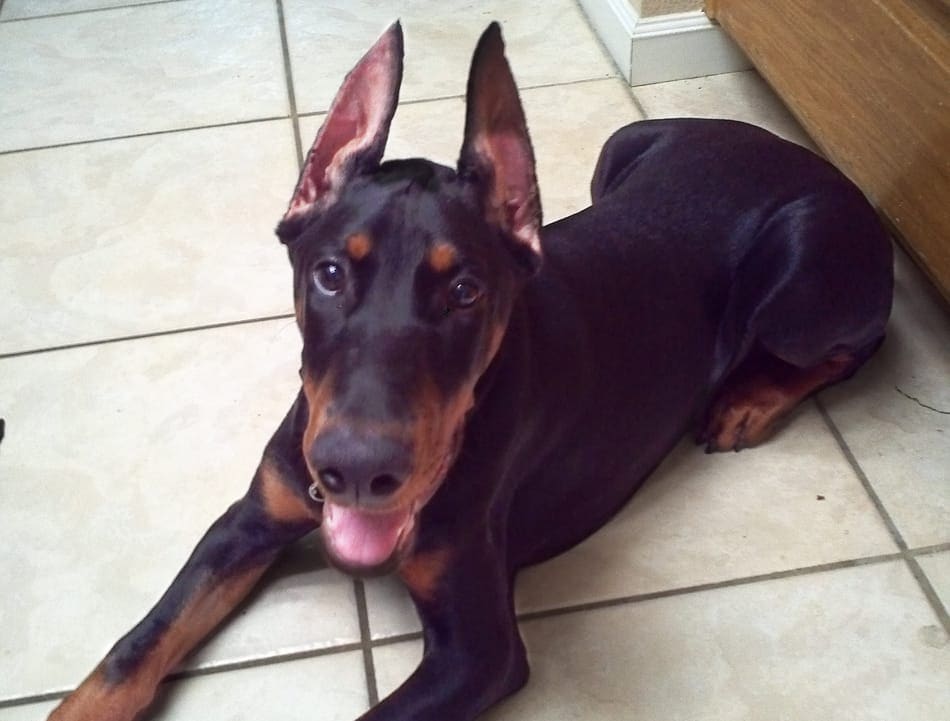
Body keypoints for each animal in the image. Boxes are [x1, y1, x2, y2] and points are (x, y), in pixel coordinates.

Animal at [48, 19, 896, 716]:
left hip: (799, 277)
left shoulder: (479, 652)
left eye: (464, 292)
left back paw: (749, 399)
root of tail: (804, 151)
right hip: (622, 145)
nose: (357, 471)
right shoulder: (249, 517)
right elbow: (134, 648)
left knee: (862, 343)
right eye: (329, 273)